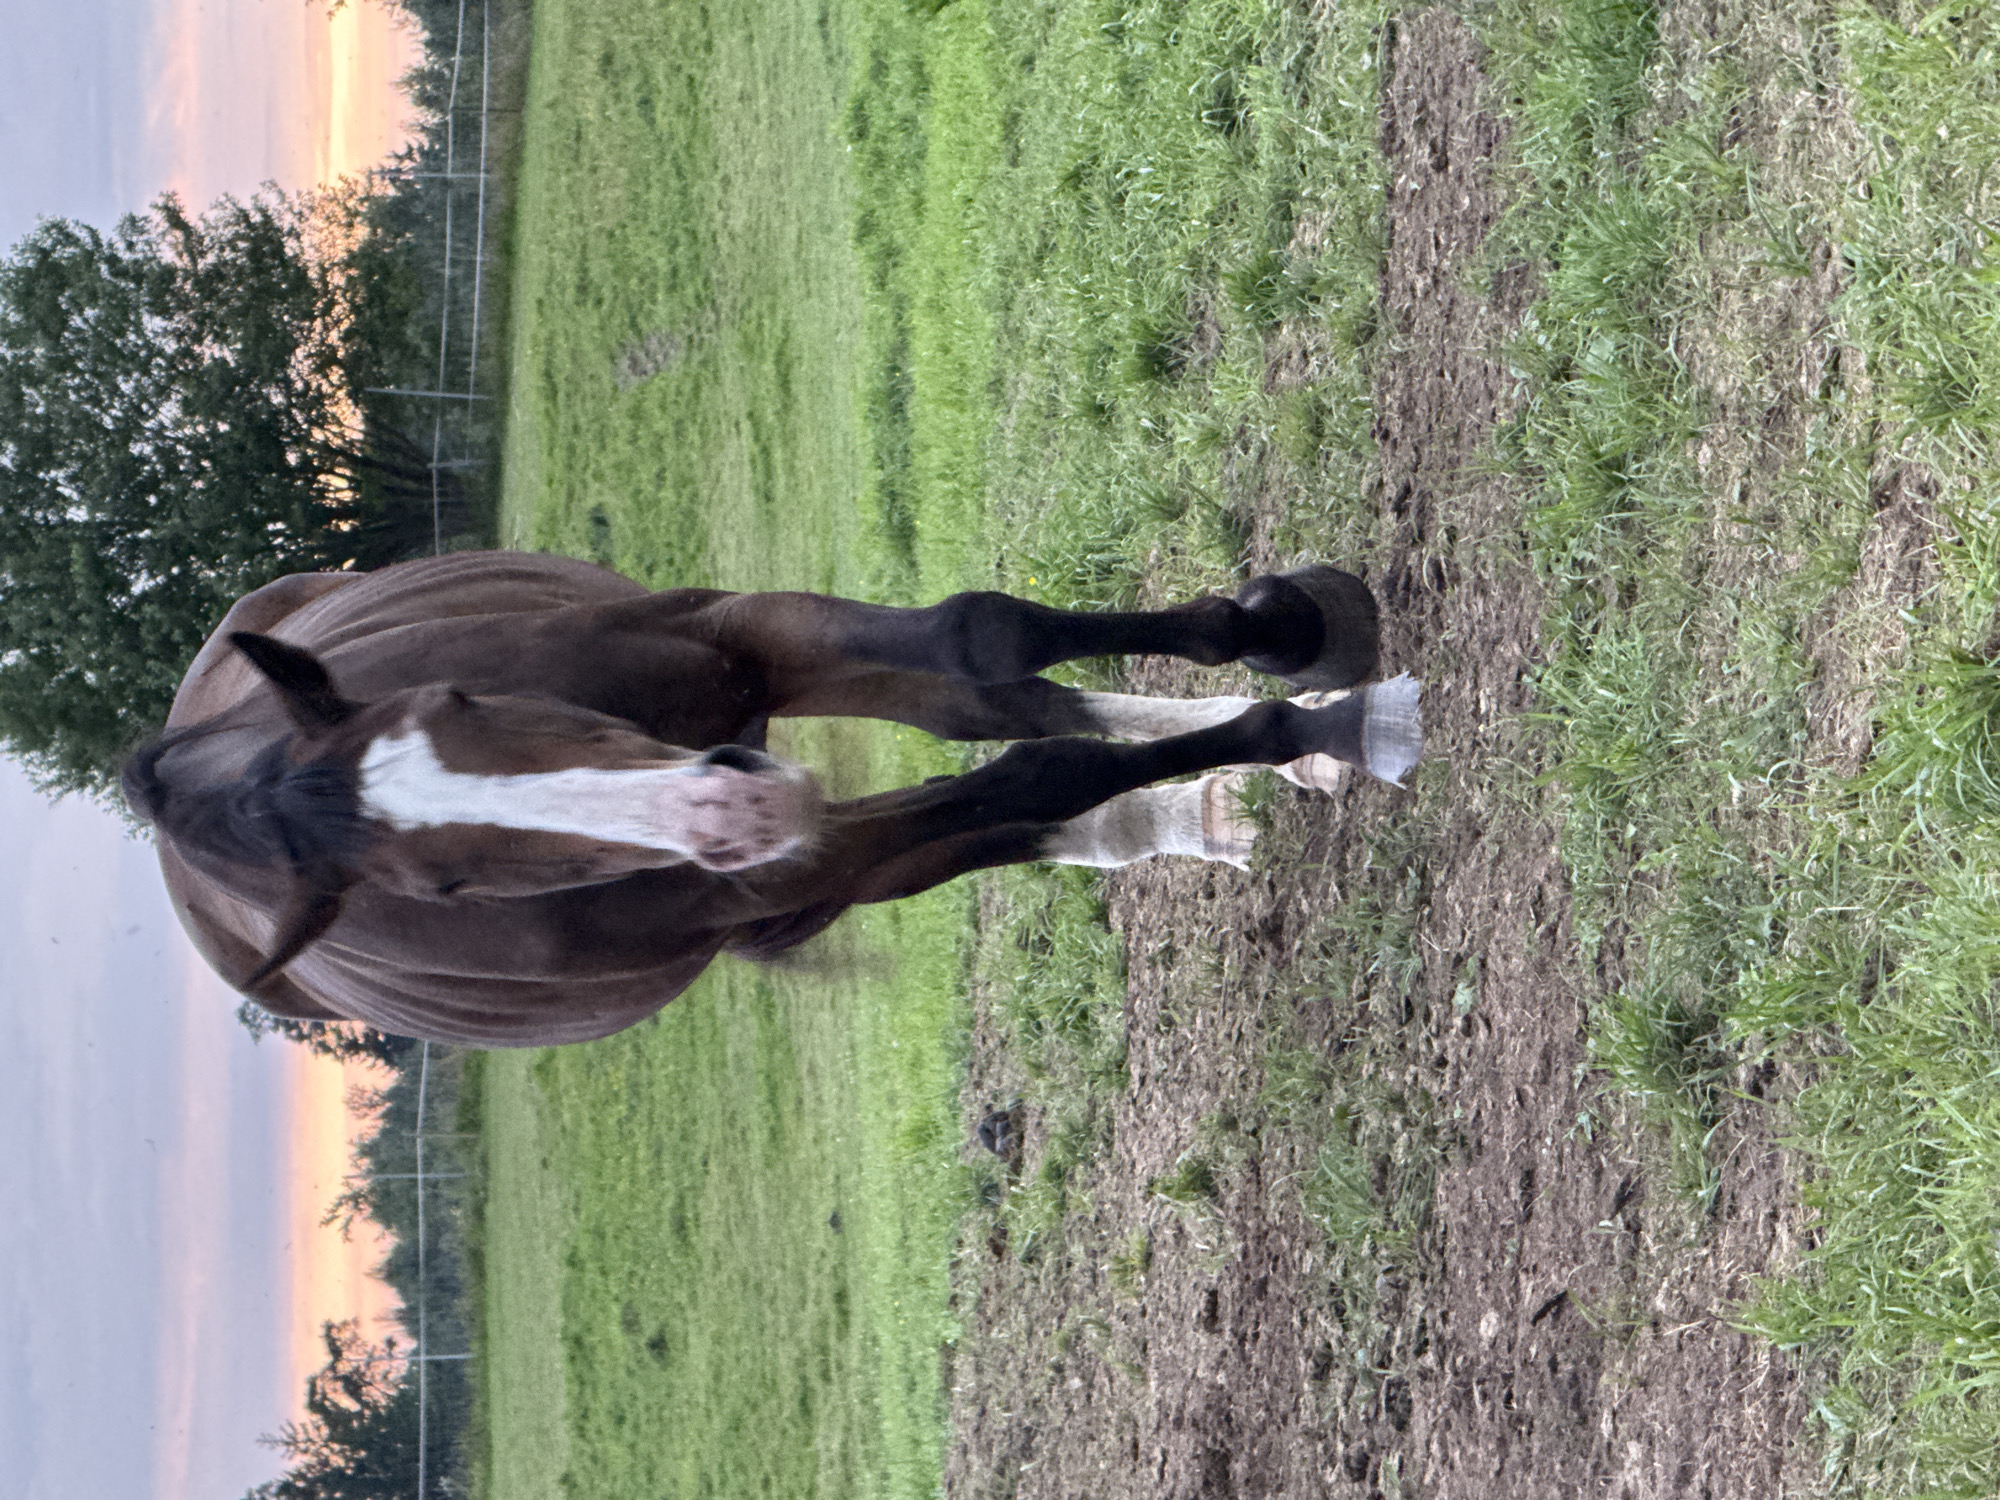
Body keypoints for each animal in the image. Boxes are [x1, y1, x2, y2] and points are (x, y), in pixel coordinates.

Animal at [123, 551, 1421, 1046]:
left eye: (457, 695)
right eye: (443, 886)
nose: (731, 816)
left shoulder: (736, 637)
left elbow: (981, 642)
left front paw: (1295, 633)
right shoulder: (791, 872)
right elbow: (1037, 767)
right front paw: (1318, 725)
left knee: (1009, 712)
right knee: (1017, 789)